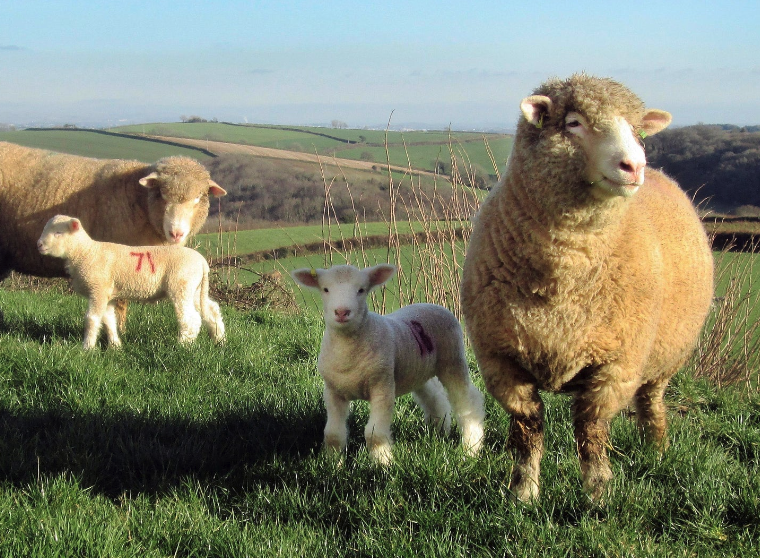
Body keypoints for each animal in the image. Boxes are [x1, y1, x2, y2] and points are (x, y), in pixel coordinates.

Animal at [0, 142, 226, 330]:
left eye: (199, 197)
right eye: (162, 194)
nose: (176, 233)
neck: (139, 199)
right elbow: (120, 305)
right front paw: (119, 333)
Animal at [37, 215, 224, 350]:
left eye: (58, 233)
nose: (38, 244)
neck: (85, 252)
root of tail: (202, 262)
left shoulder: (98, 289)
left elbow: (92, 319)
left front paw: (87, 348)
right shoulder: (108, 294)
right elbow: (109, 320)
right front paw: (115, 346)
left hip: (181, 285)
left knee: (190, 318)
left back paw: (183, 345)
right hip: (195, 288)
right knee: (212, 310)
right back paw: (219, 339)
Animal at [290, 264, 486, 466]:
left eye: (361, 290)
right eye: (325, 289)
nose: (342, 312)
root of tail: (431, 304)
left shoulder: (382, 387)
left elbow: (374, 433)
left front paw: (382, 464)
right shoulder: (333, 392)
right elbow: (333, 434)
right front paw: (333, 464)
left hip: (452, 360)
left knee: (468, 402)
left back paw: (471, 447)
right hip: (417, 370)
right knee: (435, 397)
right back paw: (438, 431)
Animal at [460, 73, 716, 504]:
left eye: (638, 130)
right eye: (574, 123)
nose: (634, 165)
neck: (564, 270)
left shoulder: (617, 363)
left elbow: (591, 431)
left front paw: (597, 494)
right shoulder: (500, 359)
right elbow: (528, 428)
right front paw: (524, 493)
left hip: (665, 357)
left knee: (651, 401)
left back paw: (657, 450)